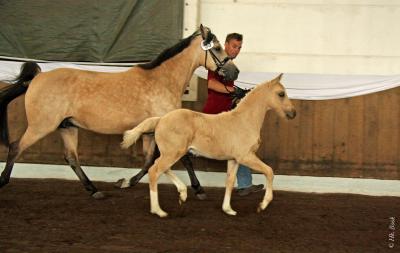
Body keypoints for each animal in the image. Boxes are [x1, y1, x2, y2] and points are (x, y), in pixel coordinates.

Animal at [122, 73, 296, 217]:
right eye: (281, 94)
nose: (293, 113)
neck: (244, 121)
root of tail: (160, 119)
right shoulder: (246, 157)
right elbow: (269, 171)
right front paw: (262, 205)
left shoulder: (234, 159)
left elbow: (230, 181)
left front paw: (228, 209)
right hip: (172, 153)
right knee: (154, 171)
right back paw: (158, 210)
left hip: (171, 153)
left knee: (159, 167)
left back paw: (182, 193)